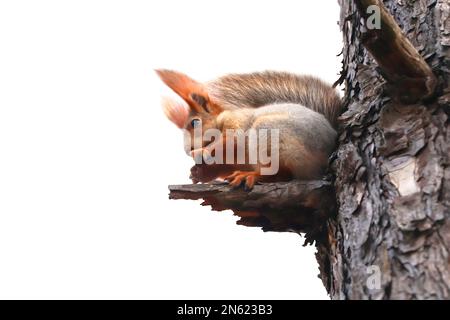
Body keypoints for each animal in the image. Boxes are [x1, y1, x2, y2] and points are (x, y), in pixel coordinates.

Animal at [156, 69, 342, 190]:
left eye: (194, 123)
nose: (188, 150)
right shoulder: (231, 163)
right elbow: (223, 167)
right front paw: (198, 173)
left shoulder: (236, 122)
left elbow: (232, 139)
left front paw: (203, 151)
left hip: (269, 133)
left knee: (280, 174)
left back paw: (251, 176)